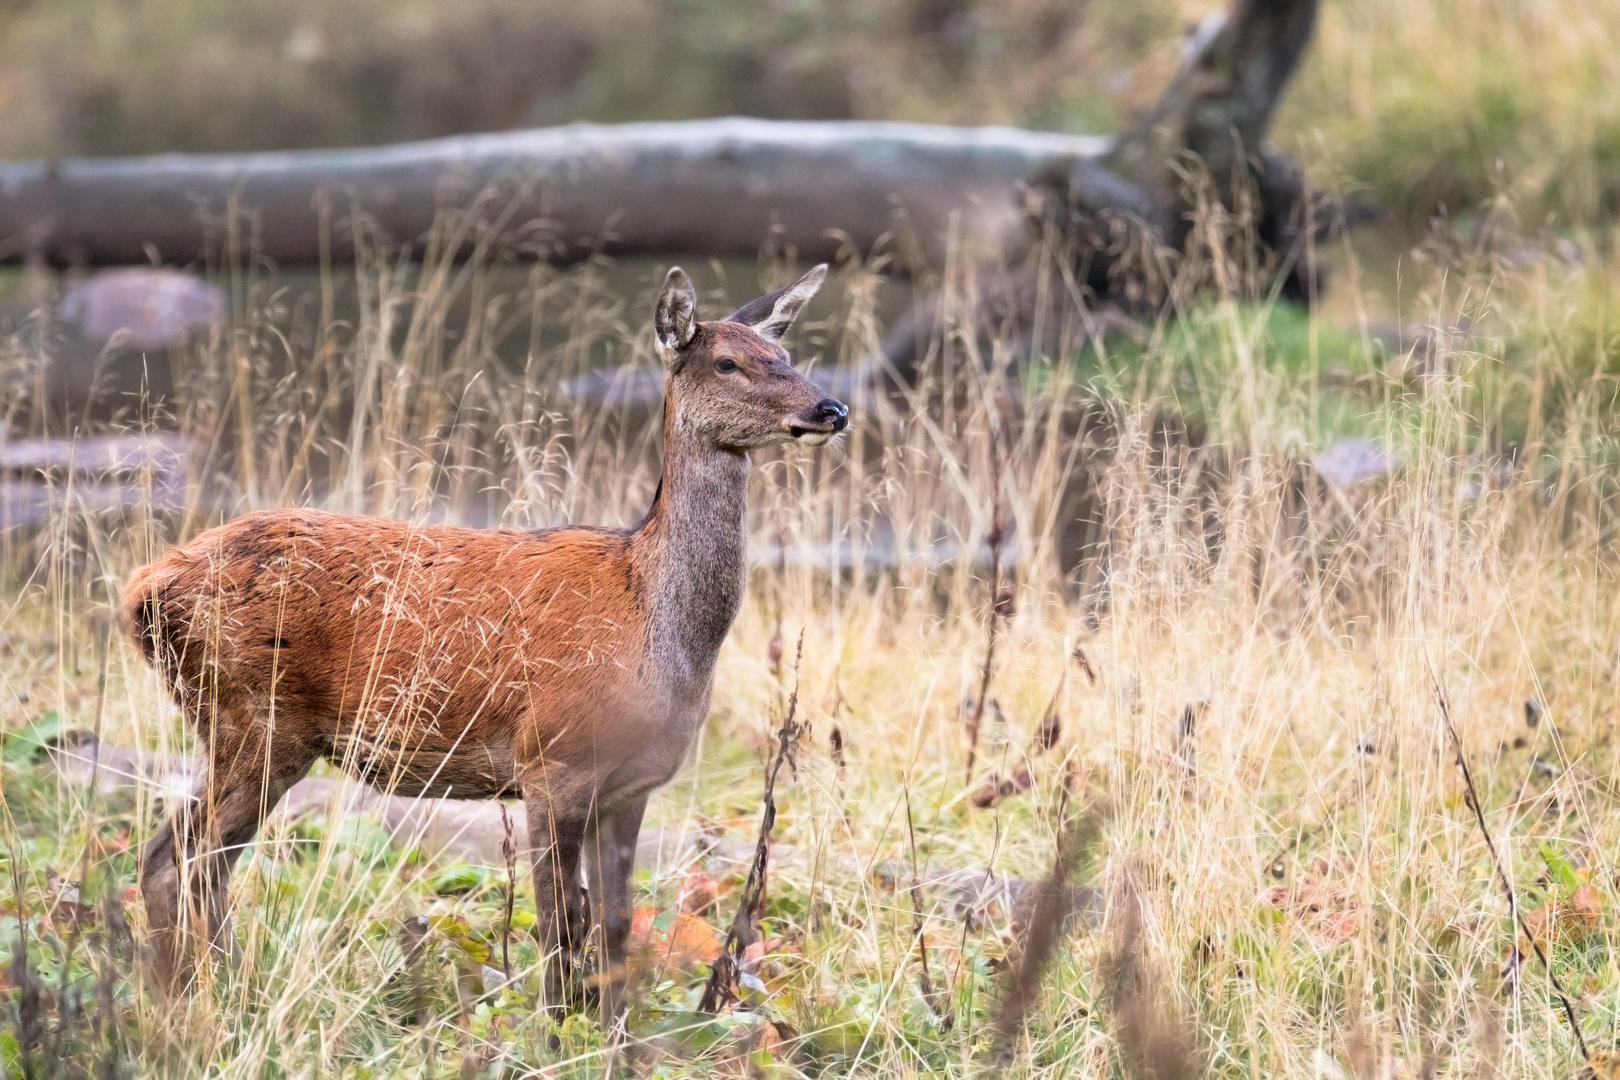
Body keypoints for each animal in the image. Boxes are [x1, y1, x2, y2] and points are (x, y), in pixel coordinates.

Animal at [123, 263, 848, 1016]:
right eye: (727, 362)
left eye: (784, 353)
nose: (831, 410)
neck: (655, 620)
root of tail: (143, 591)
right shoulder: (552, 760)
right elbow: (559, 921)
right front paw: (555, 1025)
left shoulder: (633, 782)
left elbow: (614, 926)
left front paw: (612, 1029)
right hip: (253, 715)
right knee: (183, 858)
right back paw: (203, 998)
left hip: (241, 724)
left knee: (189, 860)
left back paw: (207, 990)